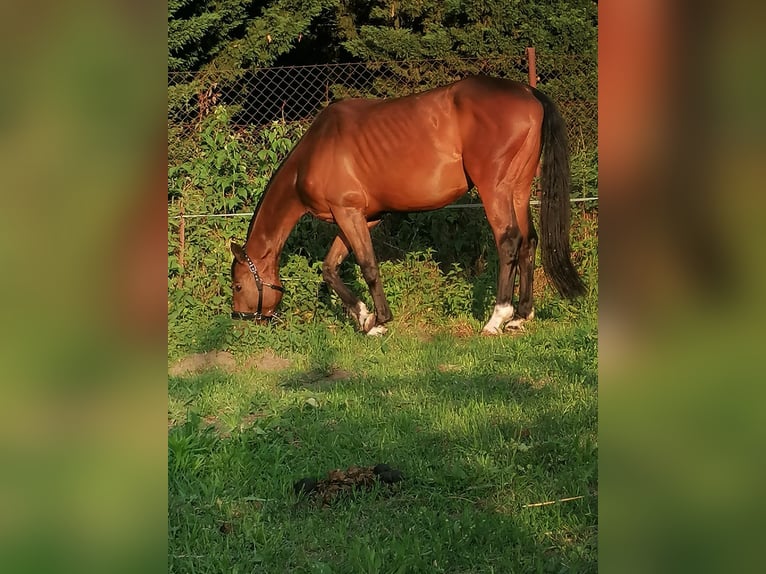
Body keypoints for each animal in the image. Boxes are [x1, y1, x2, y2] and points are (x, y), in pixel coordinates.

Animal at [231, 76, 584, 338]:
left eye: (237, 285)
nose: (241, 320)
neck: (314, 153)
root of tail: (527, 91)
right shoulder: (361, 217)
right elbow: (330, 268)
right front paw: (363, 317)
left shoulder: (347, 213)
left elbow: (368, 266)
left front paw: (378, 321)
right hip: (519, 190)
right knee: (529, 242)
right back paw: (522, 315)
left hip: (494, 190)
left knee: (509, 241)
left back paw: (496, 318)